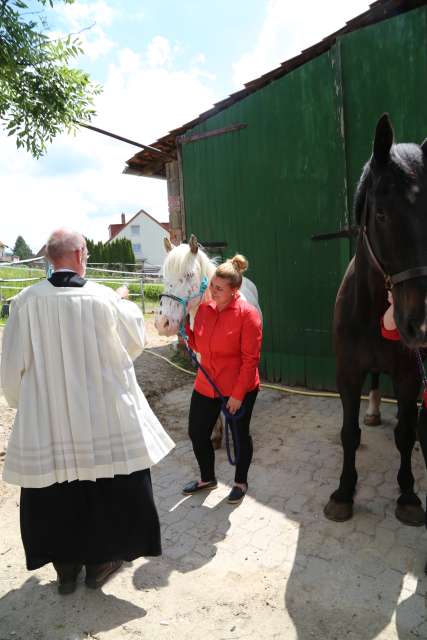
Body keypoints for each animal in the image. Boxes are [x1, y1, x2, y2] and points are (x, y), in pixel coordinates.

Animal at [324, 114, 427, 524]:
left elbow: (406, 434)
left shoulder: (410, 374)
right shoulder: (347, 371)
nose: (420, 324)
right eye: (381, 213)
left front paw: (408, 495)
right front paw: (343, 492)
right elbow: (348, 434)